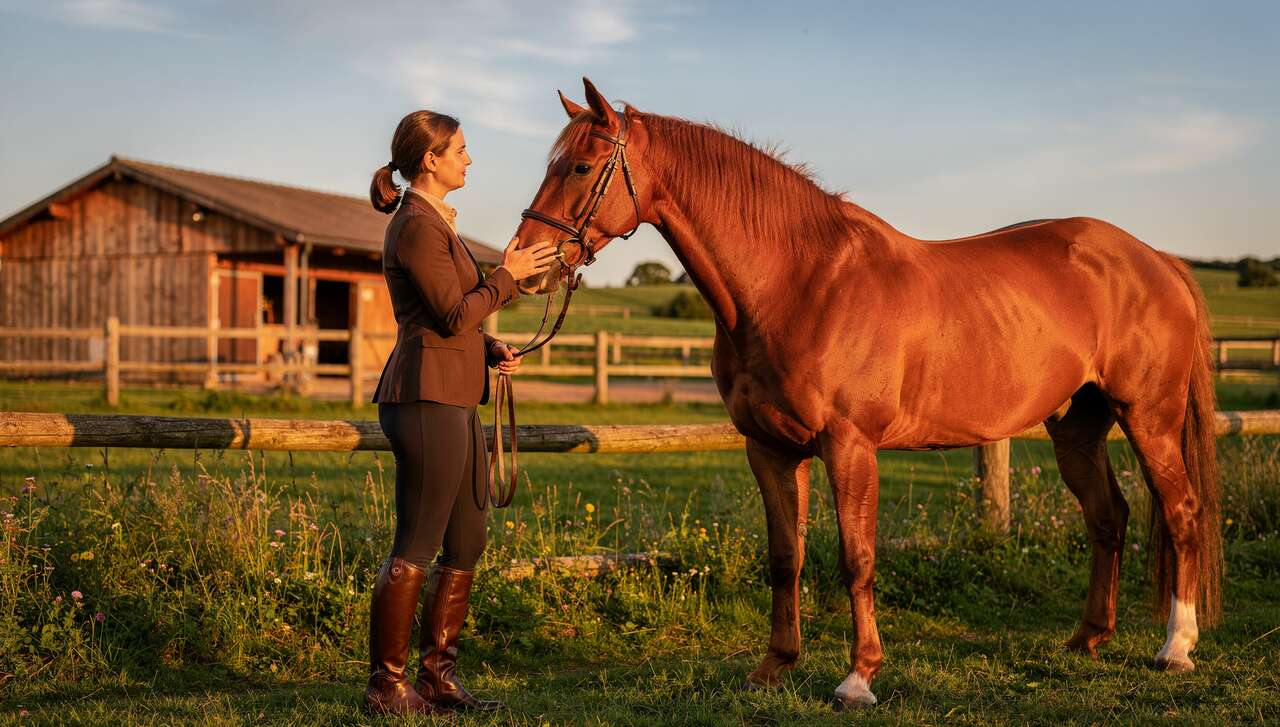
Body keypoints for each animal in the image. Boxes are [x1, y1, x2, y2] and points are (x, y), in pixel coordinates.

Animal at [513, 77, 1222, 709]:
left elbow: (856, 558)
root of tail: (1157, 260)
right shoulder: (770, 450)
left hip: (1150, 420)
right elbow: (786, 557)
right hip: (1077, 428)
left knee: (1182, 514)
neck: (799, 283)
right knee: (1109, 518)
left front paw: (858, 680)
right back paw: (1087, 640)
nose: (524, 263)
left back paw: (1176, 648)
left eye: (581, 166)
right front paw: (774, 667)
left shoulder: (850, 448)